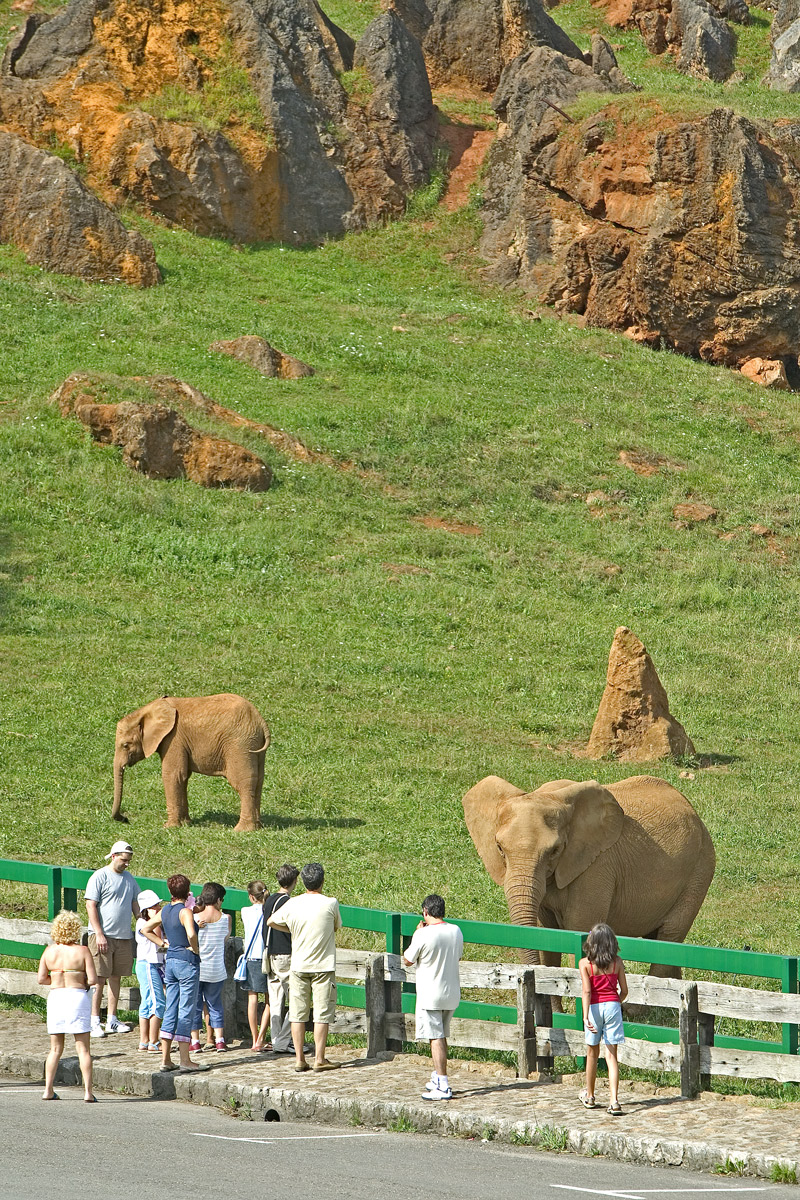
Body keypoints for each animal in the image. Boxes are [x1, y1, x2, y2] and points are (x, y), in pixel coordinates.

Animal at [113, 694, 270, 831]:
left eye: (125, 745)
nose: (125, 819)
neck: (147, 711)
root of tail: (260, 721)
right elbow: (183, 777)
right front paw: (186, 824)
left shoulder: (173, 738)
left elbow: (173, 775)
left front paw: (169, 827)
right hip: (254, 745)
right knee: (258, 781)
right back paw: (258, 827)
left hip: (239, 744)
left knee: (242, 782)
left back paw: (242, 830)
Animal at [463, 774, 715, 976]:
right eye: (499, 848)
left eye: (554, 850)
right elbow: (544, 935)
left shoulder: (596, 868)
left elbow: (580, 931)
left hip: (700, 871)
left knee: (669, 936)